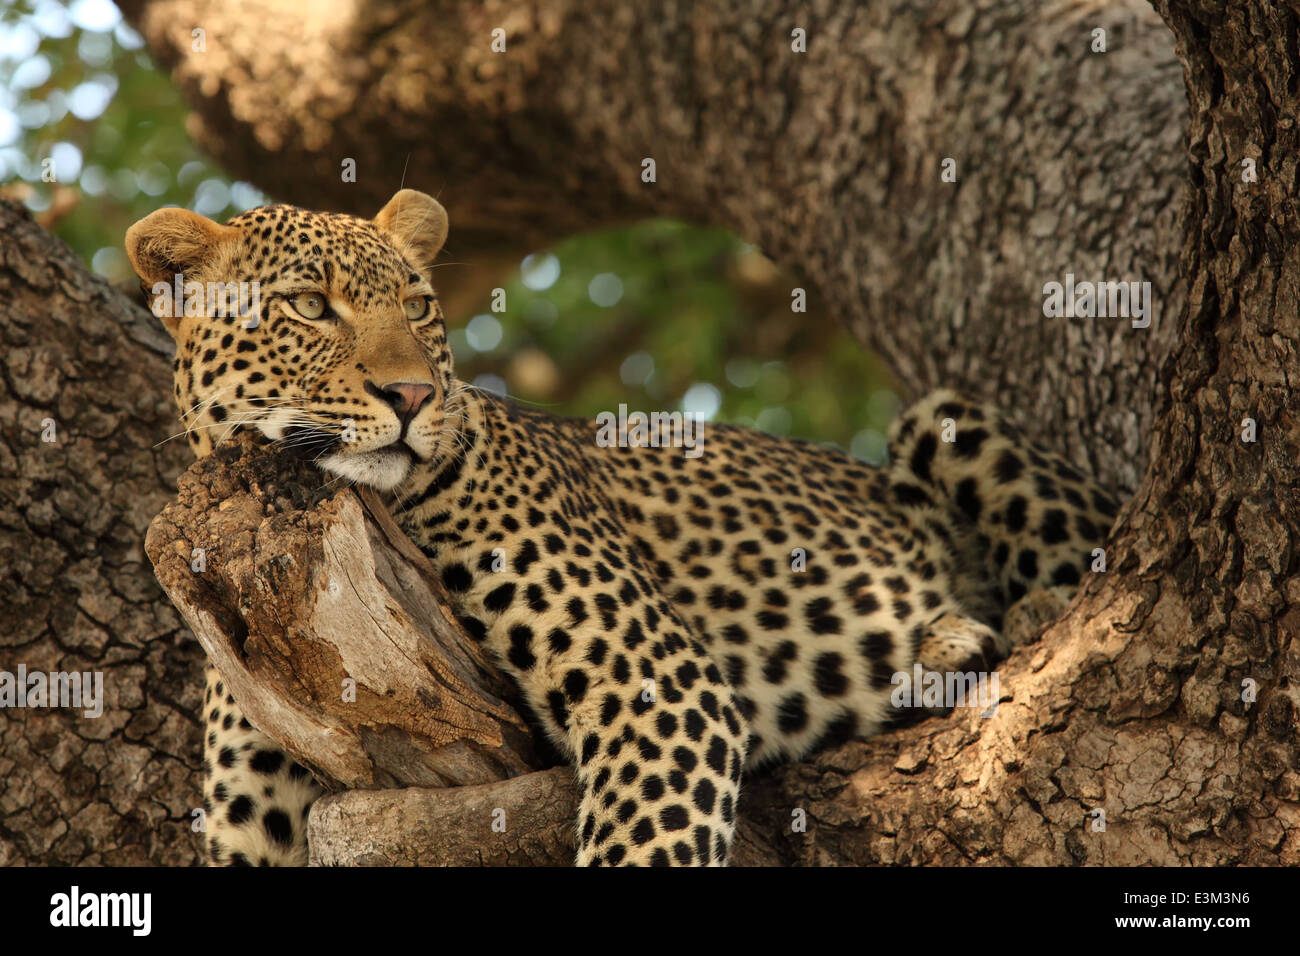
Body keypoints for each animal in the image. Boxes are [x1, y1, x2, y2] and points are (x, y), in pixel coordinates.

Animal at [125, 189, 1120, 867]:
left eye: (418, 306)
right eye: (307, 305)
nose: (411, 395)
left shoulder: (659, 687)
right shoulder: (255, 813)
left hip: (943, 420)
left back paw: (1020, 619)